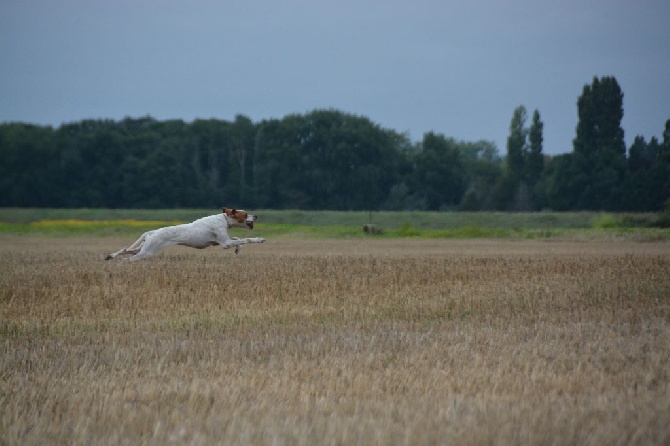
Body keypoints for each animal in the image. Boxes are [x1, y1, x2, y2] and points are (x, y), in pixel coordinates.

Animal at [105, 208, 266, 262]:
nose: (256, 216)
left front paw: (238, 249)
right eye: (245, 214)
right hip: (147, 252)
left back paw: (110, 256)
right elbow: (247, 239)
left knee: (125, 250)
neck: (224, 219)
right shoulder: (225, 243)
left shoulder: (220, 241)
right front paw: (259, 239)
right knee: (128, 258)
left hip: (144, 248)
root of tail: (153, 231)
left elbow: (238, 239)